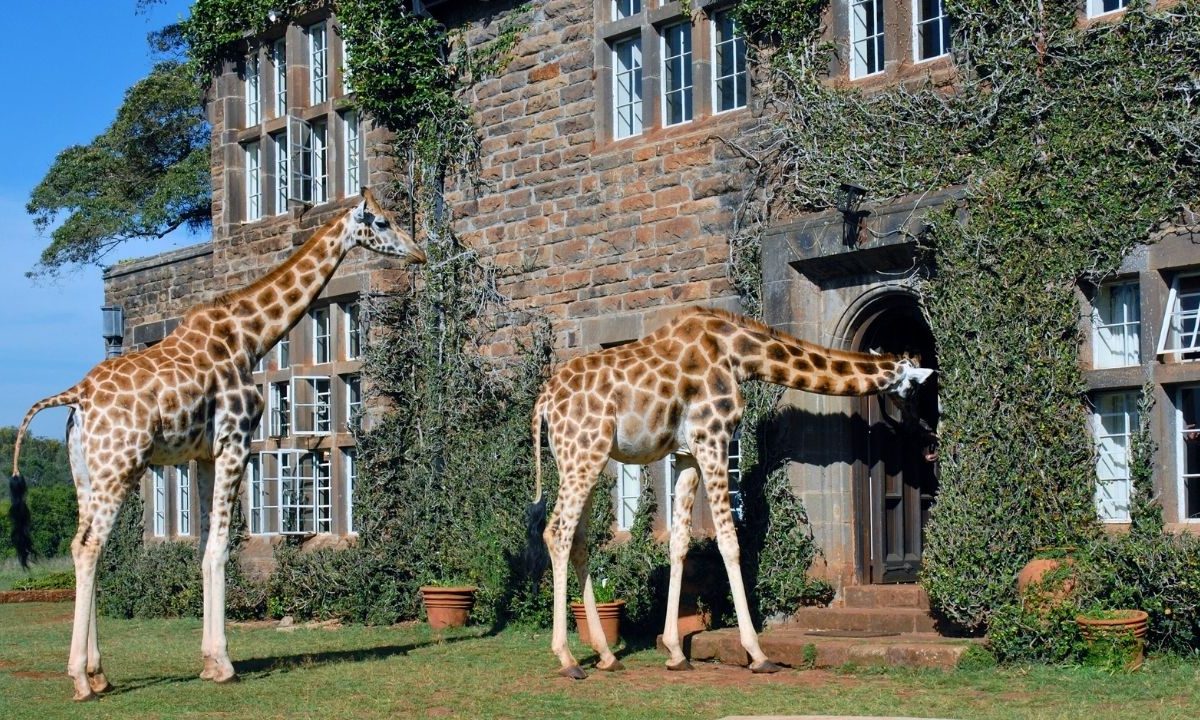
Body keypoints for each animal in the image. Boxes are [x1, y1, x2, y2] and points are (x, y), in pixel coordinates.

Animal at [8, 188, 426, 701]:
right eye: (382, 222)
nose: (419, 252)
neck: (249, 336)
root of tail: (77, 397)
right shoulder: (235, 441)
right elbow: (222, 549)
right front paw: (224, 663)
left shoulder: (203, 455)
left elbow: (206, 544)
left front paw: (208, 661)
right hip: (119, 465)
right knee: (89, 547)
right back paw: (81, 681)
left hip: (85, 473)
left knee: (82, 546)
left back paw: (99, 672)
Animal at [529, 306, 933, 678]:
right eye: (915, 388)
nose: (926, 432)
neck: (739, 354)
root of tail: (543, 403)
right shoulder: (713, 437)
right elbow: (729, 541)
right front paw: (757, 653)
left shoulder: (687, 454)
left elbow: (680, 543)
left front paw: (675, 652)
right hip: (584, 454)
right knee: (557, 532)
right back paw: (567, 659)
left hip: (584, 459)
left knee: (578, 540)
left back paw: (607, 656)